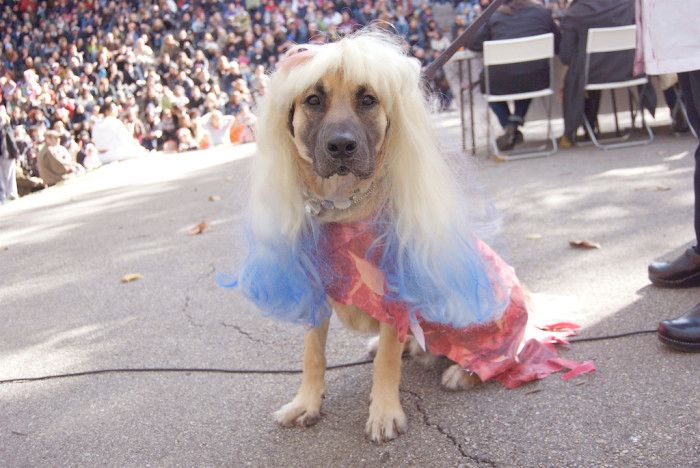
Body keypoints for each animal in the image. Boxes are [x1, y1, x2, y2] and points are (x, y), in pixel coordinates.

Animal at [235, 28, 592, 442]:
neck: (345, 207)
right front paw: (306, 402)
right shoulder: (312, 290)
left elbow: (386, 364)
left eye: (368, 99)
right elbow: (313, 353)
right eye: (313, 100)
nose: (341, 146)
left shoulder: (396, 294)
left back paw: (464, 371)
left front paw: (384, 411)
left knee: (508, 354)